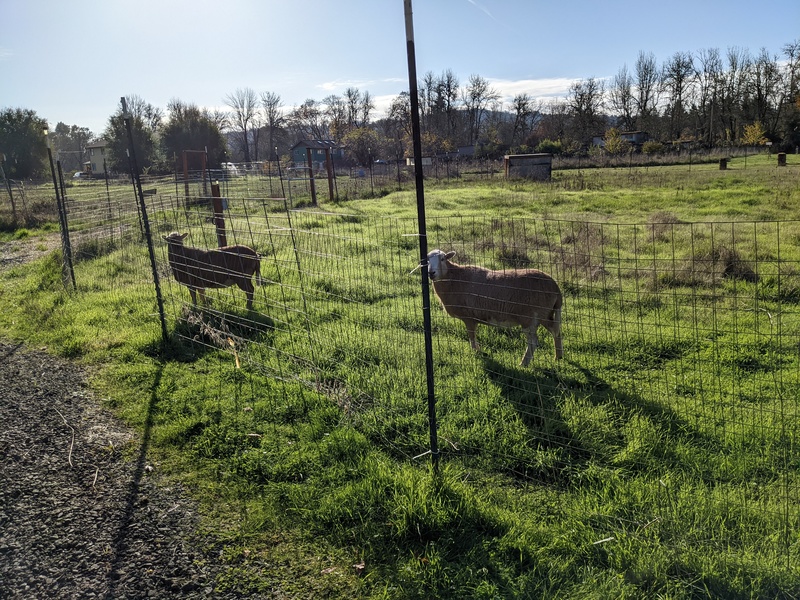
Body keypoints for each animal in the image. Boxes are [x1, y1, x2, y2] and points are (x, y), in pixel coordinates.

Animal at [424, 248, 564, 366]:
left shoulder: (469, 318)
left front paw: (477, 353)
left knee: (534, 342)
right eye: (427, 261)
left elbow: (472, 338)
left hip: (530, 317)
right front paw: (479, 351)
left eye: (442, 259)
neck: (453, 279)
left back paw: (524, 364)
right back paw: (558, 358)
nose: (431, 273)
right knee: (556, 332)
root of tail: (555, 288)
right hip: (546, 314)